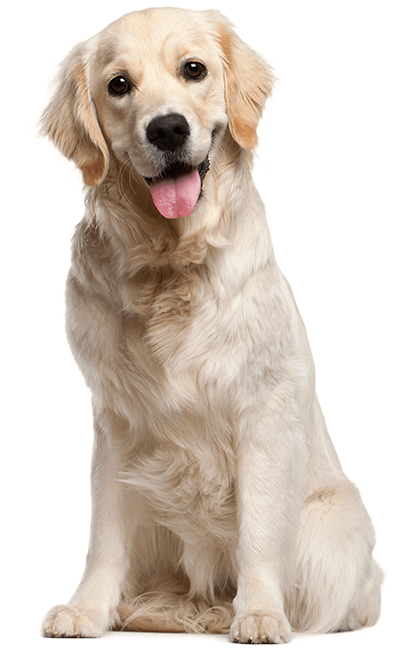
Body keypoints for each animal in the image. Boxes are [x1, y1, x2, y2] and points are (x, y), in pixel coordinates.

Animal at [34, 6, 384, 644]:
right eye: (118, 85)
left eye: (193, 69)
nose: (168, 129)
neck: (171, 264)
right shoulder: (116, 420)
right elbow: (106, 533)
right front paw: (87, 608)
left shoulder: (262, 414)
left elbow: (258, 533)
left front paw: (260, 613)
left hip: (331, 527)